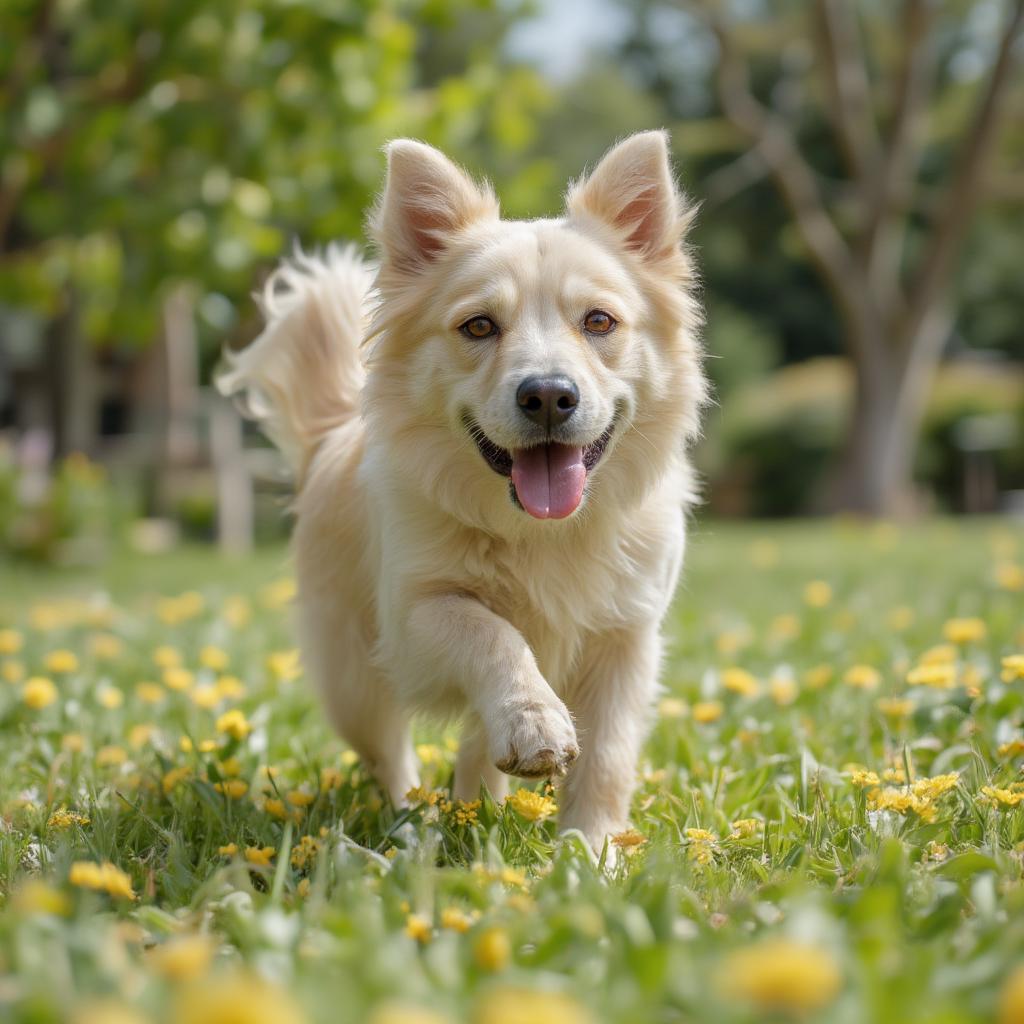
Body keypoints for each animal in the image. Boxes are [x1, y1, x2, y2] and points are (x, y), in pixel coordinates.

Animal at [218, 136, 704, 856]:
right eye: (478, 327)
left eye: (599, 321)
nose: (549, 395)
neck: (540, 529)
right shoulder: (416, 614)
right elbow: (492, 633)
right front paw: (537, 722)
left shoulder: (628, 640)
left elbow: (607, 758)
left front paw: (589, 854)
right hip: (353, 679)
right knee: (390, 754)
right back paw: (410, 820)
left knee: (477, 747)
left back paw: (479, 807)